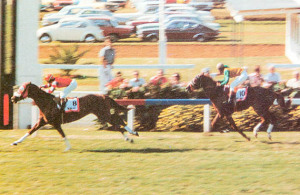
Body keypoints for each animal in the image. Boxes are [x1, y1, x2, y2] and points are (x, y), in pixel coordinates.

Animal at [11, 82, 139, 151]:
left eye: (22, 89)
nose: (13, 98)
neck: (46, 102)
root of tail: (103, 96)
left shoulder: (55, 123)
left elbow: (63, 134)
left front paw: (68, 147)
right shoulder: (42, 122)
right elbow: (30, 131)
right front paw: (16, 142)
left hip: (103, 114)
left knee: (117, 122)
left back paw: (131, 135)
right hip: (102, 114)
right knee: (118, 121)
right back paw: (131, 135)